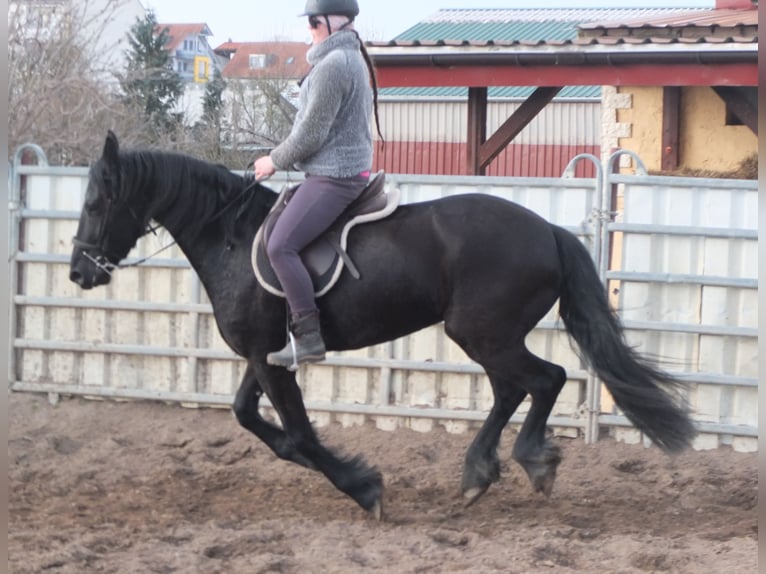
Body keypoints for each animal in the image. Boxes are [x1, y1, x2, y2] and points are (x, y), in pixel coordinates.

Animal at [70, 133, 696, 520]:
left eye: (97, 204)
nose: (79, 272)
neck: (232, 236)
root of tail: (548, 230)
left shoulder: (271, 360)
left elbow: (298, 434)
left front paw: (363, 487)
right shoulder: (265, 355)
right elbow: (252, 419)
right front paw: (337, 468)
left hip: (482, 333)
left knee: (544, 380)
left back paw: (524, 463)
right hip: (489, 337)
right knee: (513, 390)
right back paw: (482, 472)